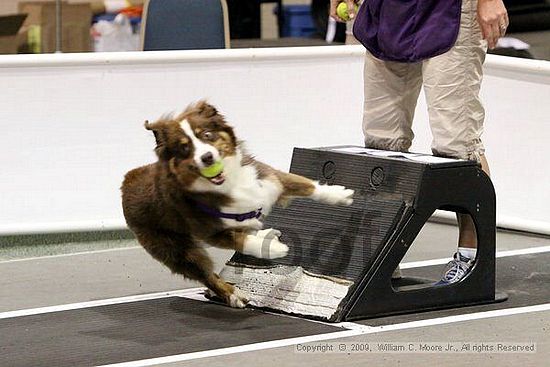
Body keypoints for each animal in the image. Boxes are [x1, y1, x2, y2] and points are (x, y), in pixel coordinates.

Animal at [121, 100, 356, 308]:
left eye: (207, 135)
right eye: (184, 148)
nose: (207, 157)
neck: (229, 182)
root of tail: (127, 180)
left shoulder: (269, 179)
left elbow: (304, 183)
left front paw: (339, 194)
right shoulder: (212, 232)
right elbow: (242, 241)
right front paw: (273, 249)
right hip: (175, 248)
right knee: (206, 274)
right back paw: (233, 294)